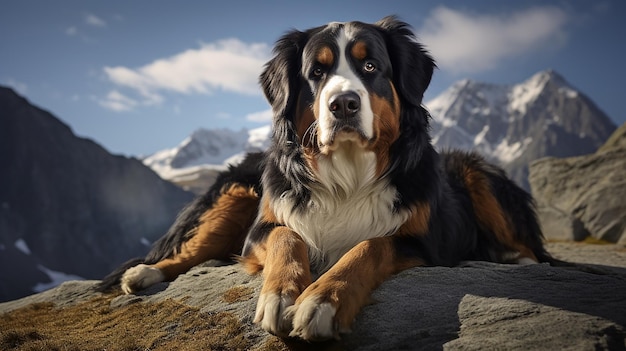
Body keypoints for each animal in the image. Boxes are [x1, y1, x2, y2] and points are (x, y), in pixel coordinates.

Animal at [98, 15, 552, 340]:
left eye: (370, 66)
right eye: (316, 72)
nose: (344, 104)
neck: (347, 173)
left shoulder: (423, 241)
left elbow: (369, 245)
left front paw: (322, 301)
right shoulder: (262, 227)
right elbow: (288, 236)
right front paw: (281, 294)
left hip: (478, 170)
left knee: (534, 249)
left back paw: (511, 256)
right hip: (237, 193)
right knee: (194, 249)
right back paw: (144, 274)